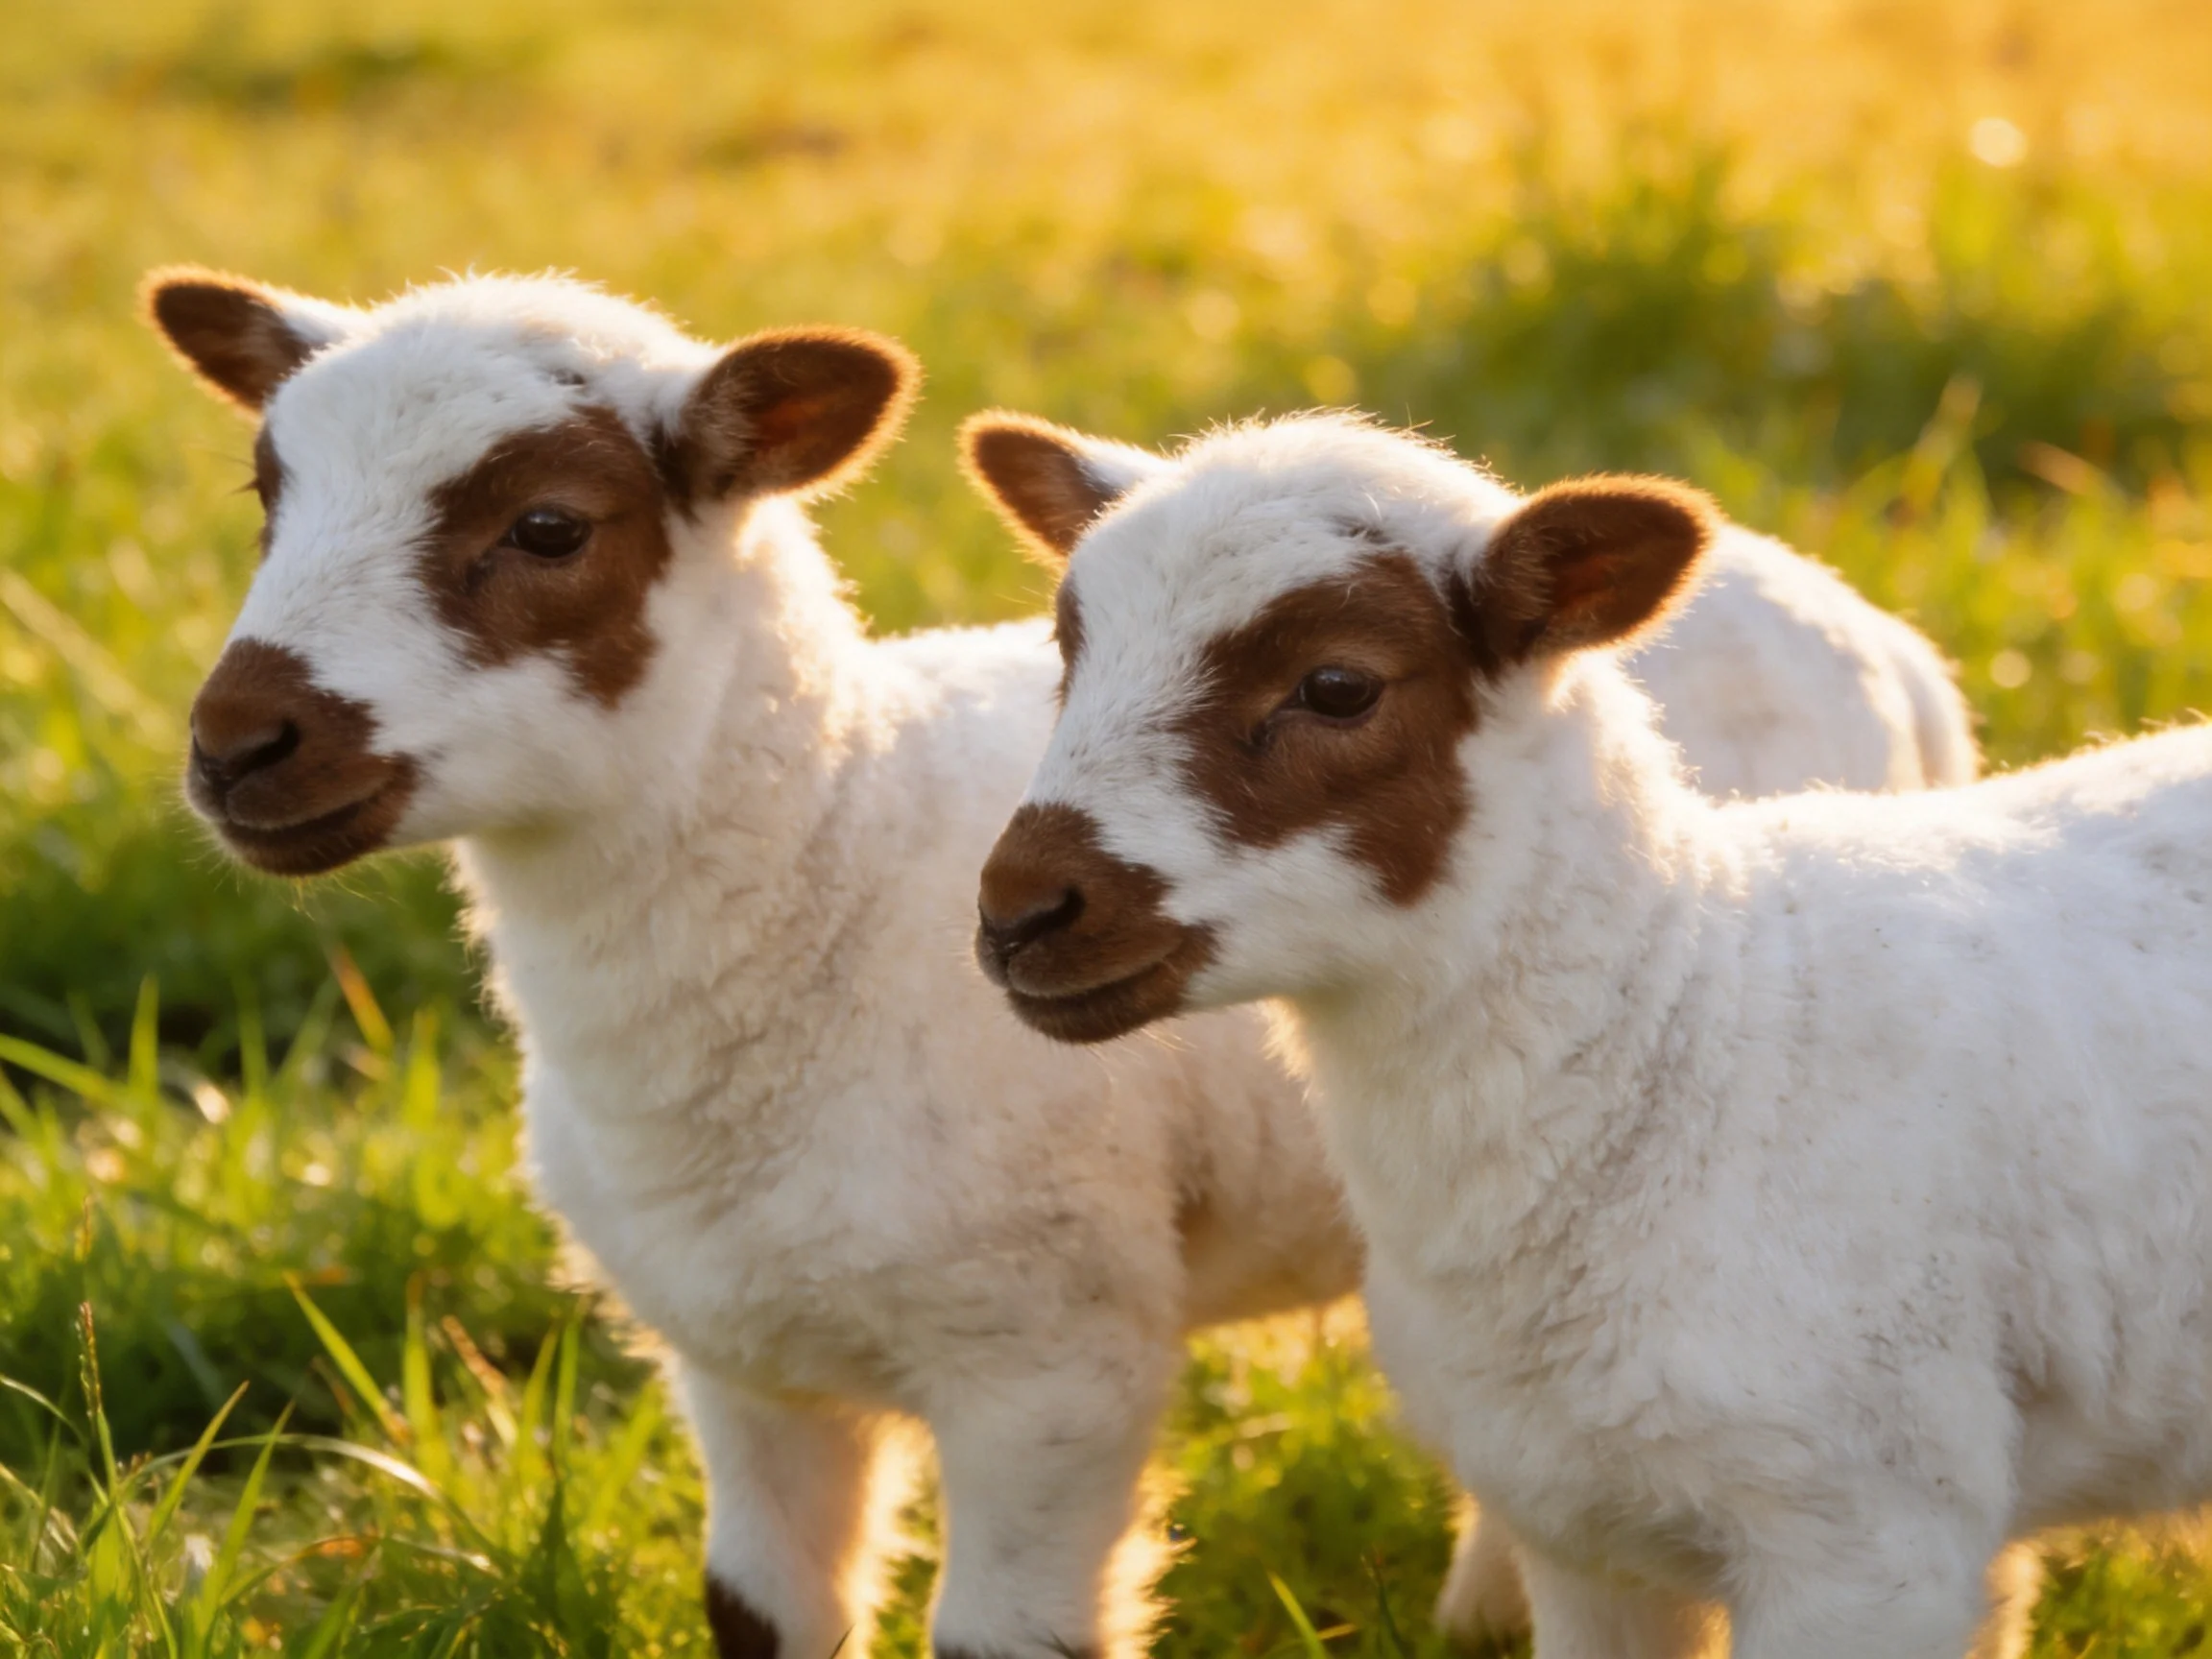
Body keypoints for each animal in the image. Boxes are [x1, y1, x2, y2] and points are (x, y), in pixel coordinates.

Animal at [145, 261, 1981, 1659]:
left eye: (546, 525)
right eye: (264, 494)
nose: (237, 747)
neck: (823, 880)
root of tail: (1881, 634)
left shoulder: (1049, 1354)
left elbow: (1001, 1637)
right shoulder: (731, 1360)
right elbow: (761, 1621)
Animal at [971, 409, 2212, 1659]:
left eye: (1337, 685)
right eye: (1070, 650)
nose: (1018, 913)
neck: (1690, 1043)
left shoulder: (1863, 1535)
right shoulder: (1580, 1537)